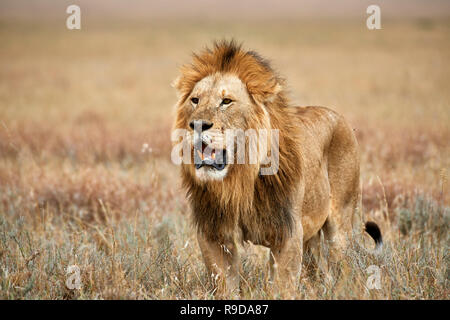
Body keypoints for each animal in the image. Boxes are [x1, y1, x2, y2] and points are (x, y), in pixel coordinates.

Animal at [171, 40, 382, 298]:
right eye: (195, 100)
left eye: (226, 101)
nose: (197, 125)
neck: (239, 180)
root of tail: (338, 116)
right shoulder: (214, 234)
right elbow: (224, 285)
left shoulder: (287, 233)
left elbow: (283, 287)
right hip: (310, 237)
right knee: (318, 273)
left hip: (341, 224)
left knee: (344, 268)